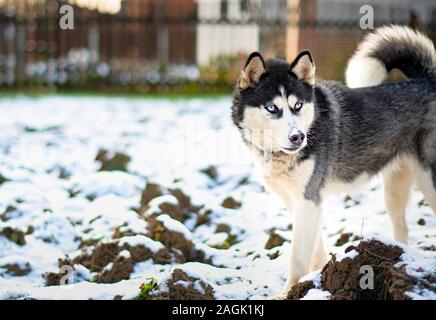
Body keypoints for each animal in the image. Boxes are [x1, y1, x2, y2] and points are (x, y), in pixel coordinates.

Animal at [230, 25, 434, 298]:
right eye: (272, 108)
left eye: (297, 105)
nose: (298, 137)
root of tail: (426, 81)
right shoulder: (301, 202)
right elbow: (315, 247)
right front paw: (319, 278)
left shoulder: (309, 198)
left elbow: (298, 256)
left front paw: (291, 291)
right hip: (394, 191)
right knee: (402, 228)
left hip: (429, 181)